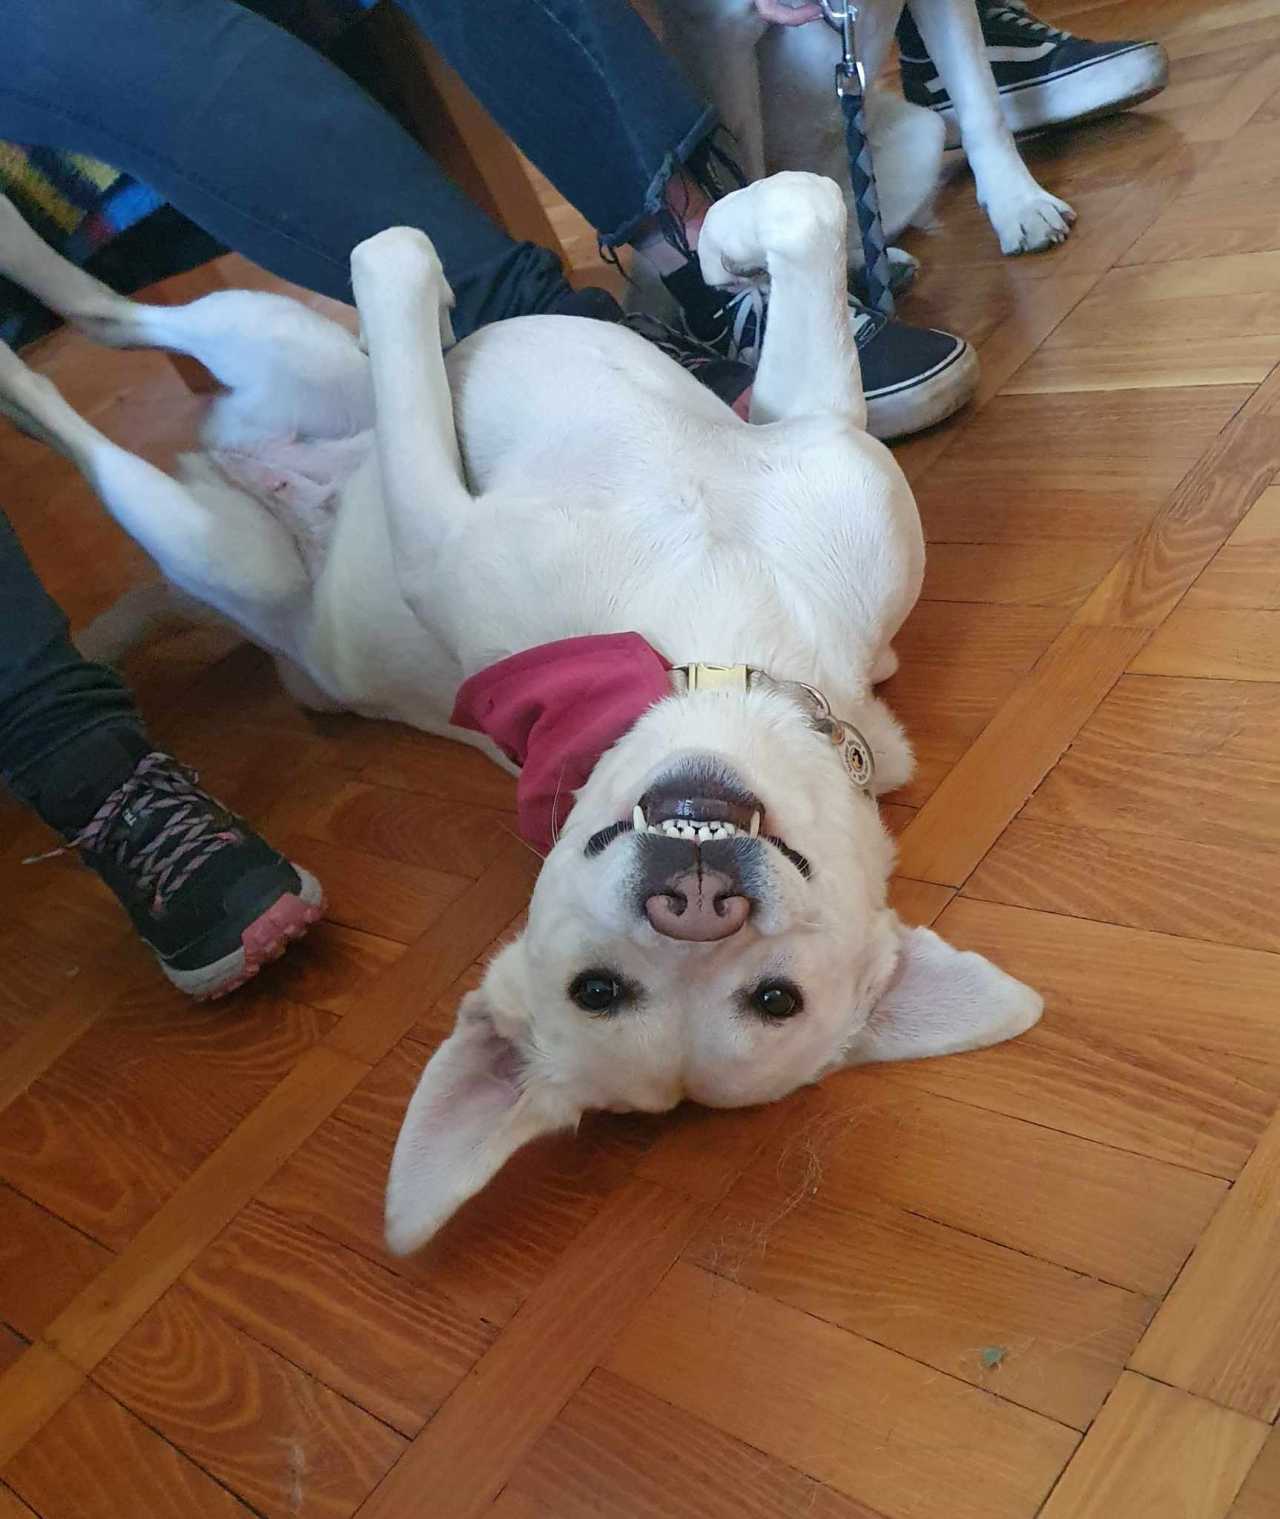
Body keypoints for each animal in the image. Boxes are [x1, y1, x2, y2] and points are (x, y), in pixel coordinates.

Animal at [0, 176, 1042, 1254]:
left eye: (771, 998)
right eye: (599, 989)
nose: (699, 900)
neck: (718, 643)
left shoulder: (437, 533)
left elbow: (399, 273)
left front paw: (413, 267)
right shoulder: (820, 435)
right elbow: (807, 206)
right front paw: (719, 250)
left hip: (220, 544)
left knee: (92, 383)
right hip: (285, 345)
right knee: (129, 319)